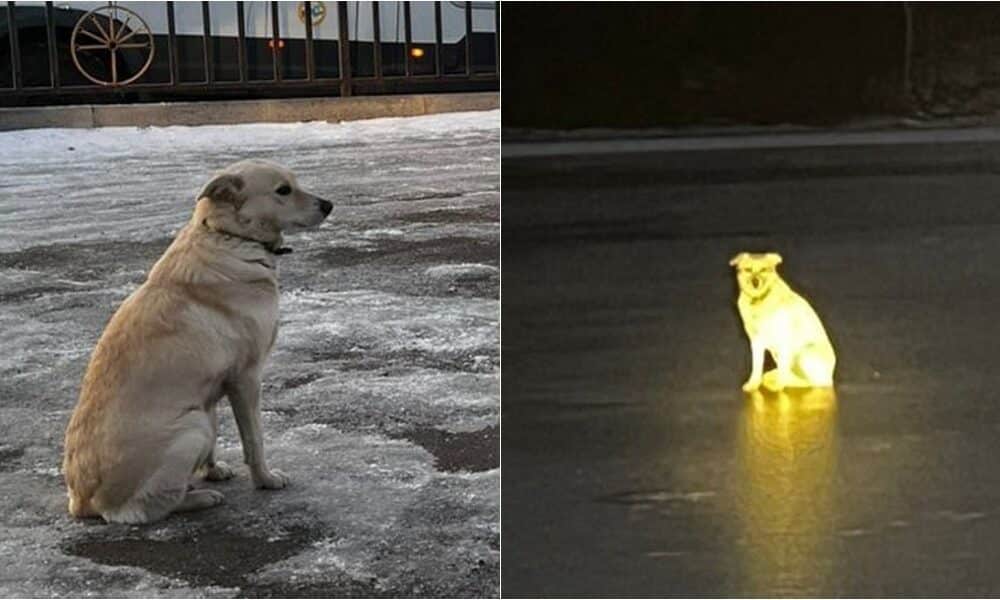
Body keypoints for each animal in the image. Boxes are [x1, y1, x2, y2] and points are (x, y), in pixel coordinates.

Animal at [64, 161, 334, 524]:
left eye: (295, 183)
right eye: (283, 190)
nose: (329, 205)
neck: (230, 236)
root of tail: (82, 502)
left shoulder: (213, 389)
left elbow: (221, 437)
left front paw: (213, 470)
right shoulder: (247, 378)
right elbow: (255, 441)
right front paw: (265, 479)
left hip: (199, 417)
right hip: (193, 428)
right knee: (145, 508)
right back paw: (200, 498)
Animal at [728, 253, 836, 394]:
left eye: (763, 269)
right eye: (748, 270)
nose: (755, 282)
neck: (759, 300)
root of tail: (830, 376)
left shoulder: (783, 340)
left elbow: (782, 371)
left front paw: (779, 385)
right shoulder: (756, 342)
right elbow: (756, 367)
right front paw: (753, 384)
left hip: (803, 353)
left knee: (811, 382)